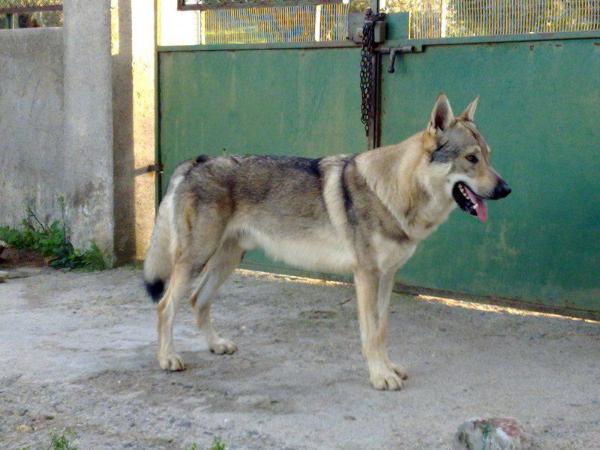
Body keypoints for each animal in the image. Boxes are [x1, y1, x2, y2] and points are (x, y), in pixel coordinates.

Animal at [144, 95, 510, 390]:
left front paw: (388, 368)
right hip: (196, 260)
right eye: (472, 159)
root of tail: (194, 162)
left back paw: (216, 344)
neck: (394, 192)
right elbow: (370, 332)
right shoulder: (366, 275)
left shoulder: (387, 277)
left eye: (489, 156)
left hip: (226, 262)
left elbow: (382, 329)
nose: (506, 190)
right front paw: (380, 377)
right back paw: (167, 359)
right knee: (165, 305)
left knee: (197, 301)